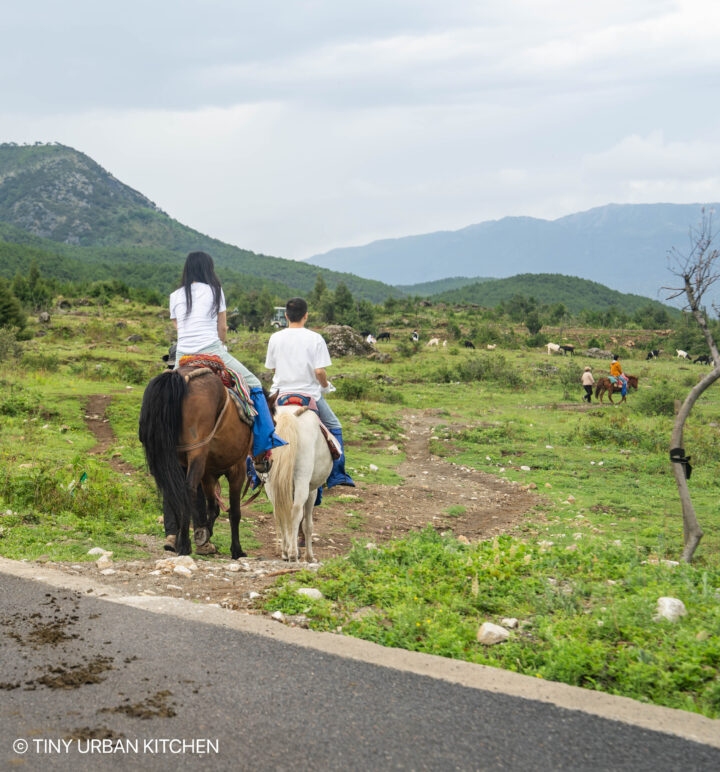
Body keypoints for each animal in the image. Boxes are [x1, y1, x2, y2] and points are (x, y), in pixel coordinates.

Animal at [139, 366, 272, 556]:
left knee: (173, 492)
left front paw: (204, 535)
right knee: (188, 489)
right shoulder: (236, 470)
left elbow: (213, 508)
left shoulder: (209, 474)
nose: (266, 463)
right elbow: (234, 511)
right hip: (196, 453)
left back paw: (177, 541)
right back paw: (184, 545)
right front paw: (236, 550)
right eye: (273, 424)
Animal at [264, 404, 332, 560]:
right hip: (302, 479)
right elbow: (308, 525)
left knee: (279, 512)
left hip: (270, 483)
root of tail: (289, 415)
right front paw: (309, 556)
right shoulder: (312, 491)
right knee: (295, 512)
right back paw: (293, 554)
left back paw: (285, 551)